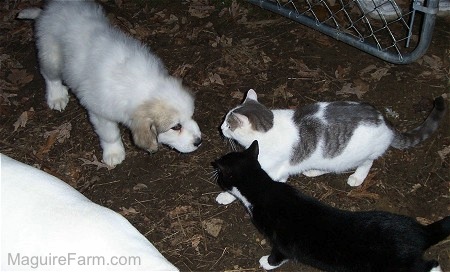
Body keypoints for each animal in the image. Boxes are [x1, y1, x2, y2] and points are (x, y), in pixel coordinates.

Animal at [17, 0, 200, 167]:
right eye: (176, 127)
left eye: (191, 115)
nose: (199, 141)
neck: (144, 86)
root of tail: (46, 11)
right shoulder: (100, 114)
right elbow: (110, 135)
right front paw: (114, 154)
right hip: (51, 57)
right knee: (49, 76)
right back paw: (56, 97)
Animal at [213, 141, 450, 270]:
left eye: (221, 174)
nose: (214, 163)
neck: (264, 189)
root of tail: (420, 231)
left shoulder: (282, 242)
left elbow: (279, 255)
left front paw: (266, 262)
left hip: (398, 265)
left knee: (431, 265)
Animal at [218, 89, 446, 204]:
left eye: (229, 124)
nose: (220, 127)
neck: (269, 127)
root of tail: (385, 121)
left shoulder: (272, 170)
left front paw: (226, 196)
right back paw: (313, 171)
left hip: (355, 156)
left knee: (367, 163)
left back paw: (357, 177)